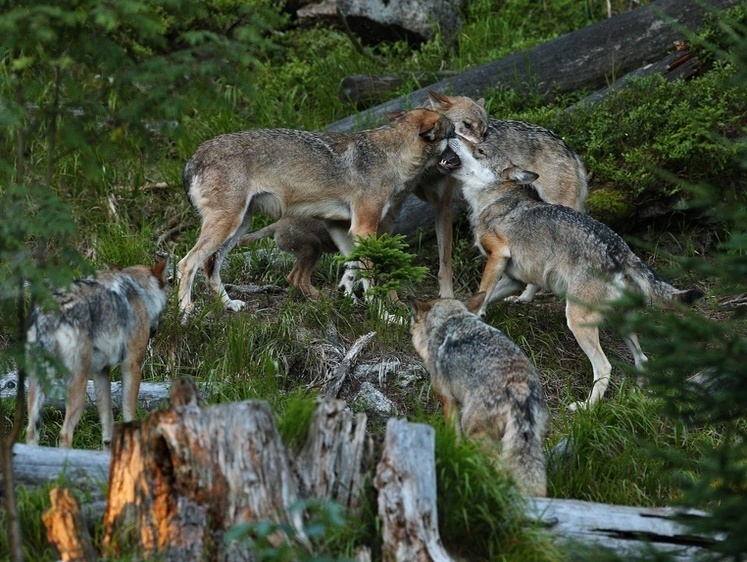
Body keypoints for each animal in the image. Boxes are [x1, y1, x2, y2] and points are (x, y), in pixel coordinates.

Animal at [25, 258, 169, 446]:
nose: (154, 331)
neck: (137, 289)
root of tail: (50, 312)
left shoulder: (101, 371)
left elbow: (107, 427)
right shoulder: (132, 364)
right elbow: (129, 413)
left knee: (31, 431)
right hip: (78, 385)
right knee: (65, 433)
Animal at [178, 107, 452, 312]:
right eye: (453, 133)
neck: (390, 156)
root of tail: (194, 156)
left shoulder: (341, 227)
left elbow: (352, 267)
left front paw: (346, 296)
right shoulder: (363, 228)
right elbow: (371, 278)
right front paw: (384, 315)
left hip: (238, 227)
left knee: (209, 267)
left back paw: (229, 305)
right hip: (227, 227)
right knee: (186, 264)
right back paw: (184, 312)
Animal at [410, 290, 548, 492]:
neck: (451, 319)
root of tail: (519, 388)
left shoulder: (448, 402)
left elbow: (454, 436)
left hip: (474, 432)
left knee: (500, 467)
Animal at [436, 140, 704, 410]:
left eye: (480, 150)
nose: (452, 136)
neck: (492, 200)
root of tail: (622, 251)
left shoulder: (498, 256)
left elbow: (482, 292)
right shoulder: (514, 279)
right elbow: (482, 296)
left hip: (577, 320)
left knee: (604, 367)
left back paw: (586, 408)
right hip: (621, 324)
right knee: (643, 358)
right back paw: (641, 394)